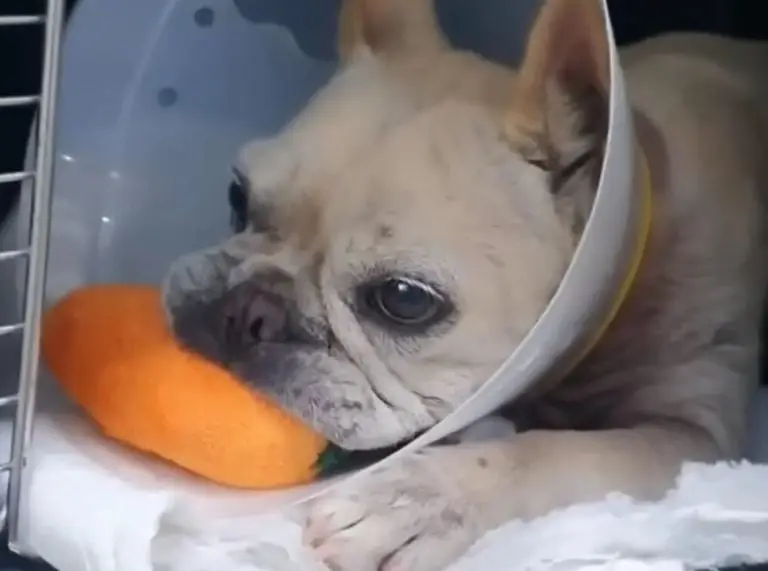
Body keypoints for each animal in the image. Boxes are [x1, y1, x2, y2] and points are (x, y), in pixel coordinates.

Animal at [162, 0, 768, 569]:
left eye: (404, 300)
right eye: (237, 196)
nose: (245, 309)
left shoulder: (693, 436)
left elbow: (560, 454)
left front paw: (420, 499)